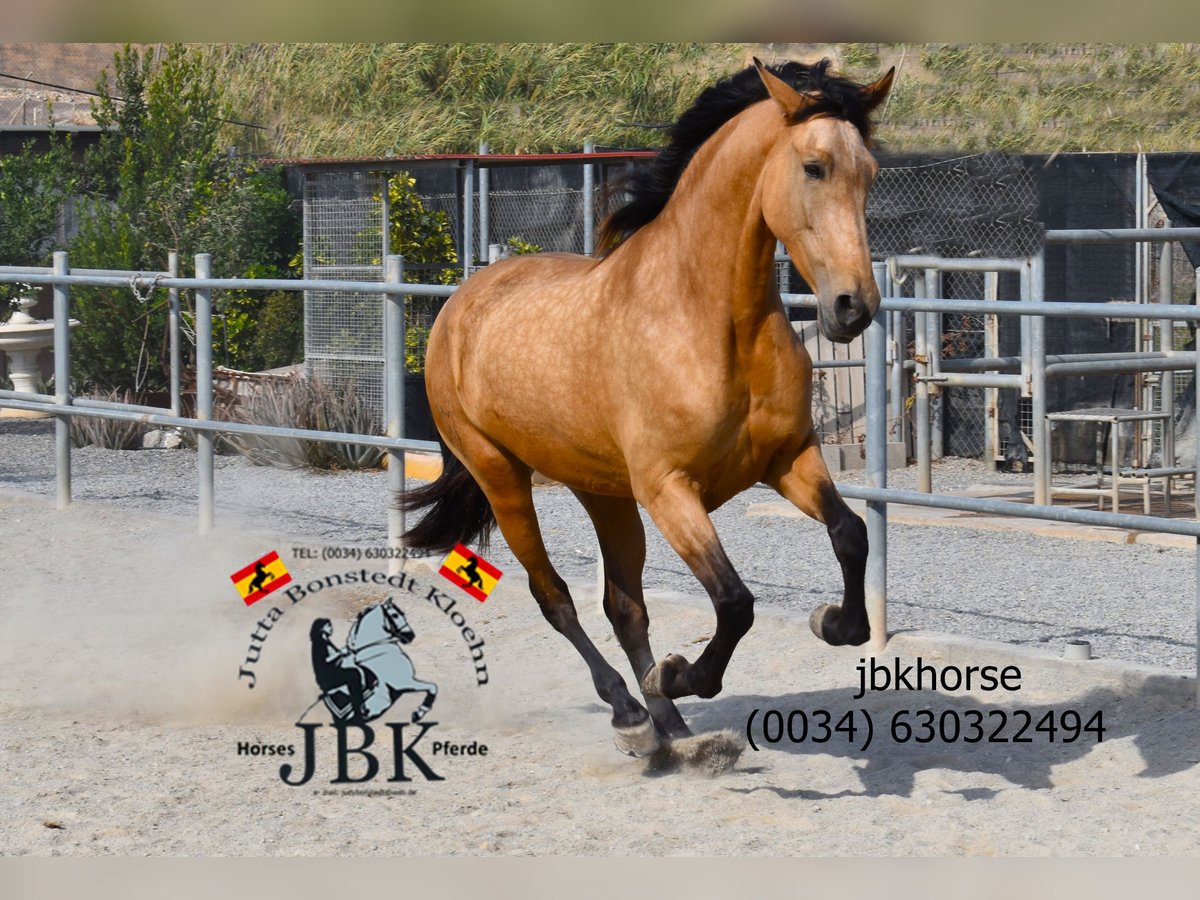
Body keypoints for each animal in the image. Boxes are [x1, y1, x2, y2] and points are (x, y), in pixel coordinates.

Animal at [400, 58, 892, 763]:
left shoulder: (788, 460)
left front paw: (832, 623)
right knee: (555, 597)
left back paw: (672, 727)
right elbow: (734, 600)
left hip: (603, 492)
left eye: (870, 174)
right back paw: (633, 711)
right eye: (813, 167)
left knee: (623, 605)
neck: (709, 320)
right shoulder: (669, 488)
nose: (853, 308)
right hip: (504, 479)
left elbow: (850, 533)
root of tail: (458, 307)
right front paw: (684, 674)